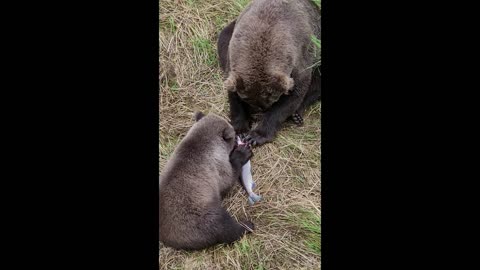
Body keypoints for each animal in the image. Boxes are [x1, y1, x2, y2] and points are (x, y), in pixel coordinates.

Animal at [218, 0, 318, 146]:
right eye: (247, 99)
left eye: (271, 99)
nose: (259, 111)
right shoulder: (232, 61)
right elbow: (233, 97)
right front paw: (240, 129)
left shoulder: (300, 62)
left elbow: (291, 99)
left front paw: (256, 136)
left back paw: (297, 115)